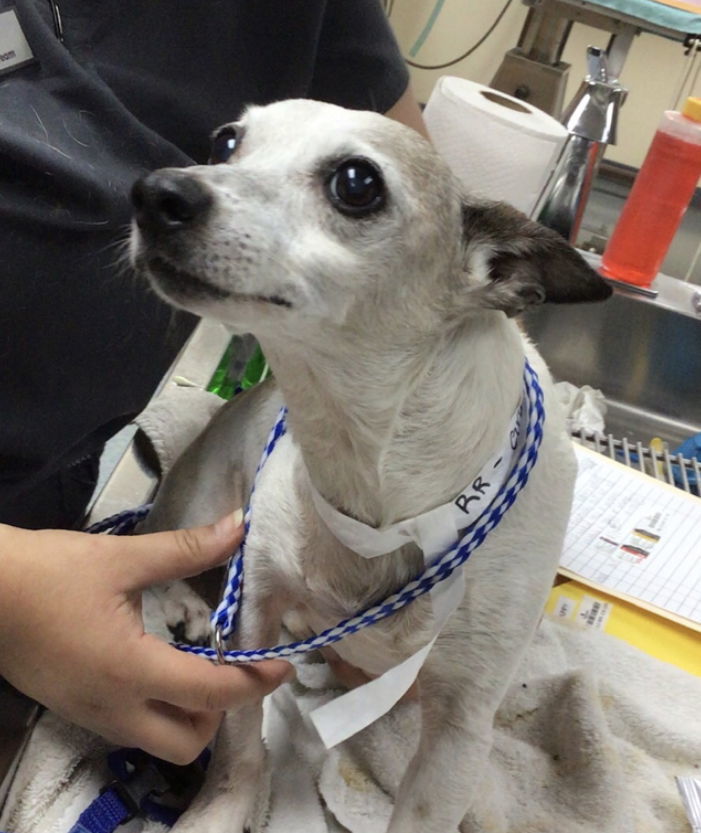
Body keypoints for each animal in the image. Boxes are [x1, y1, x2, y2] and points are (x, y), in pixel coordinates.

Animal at [131, 99, 612, 832]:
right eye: (226, 142)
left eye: (356, 183)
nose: (155, 192)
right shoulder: (251, 623)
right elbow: (239, 746)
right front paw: (219, 811)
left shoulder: (458, 730)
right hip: (200, 508)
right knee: (157, 554)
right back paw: (184, 600)